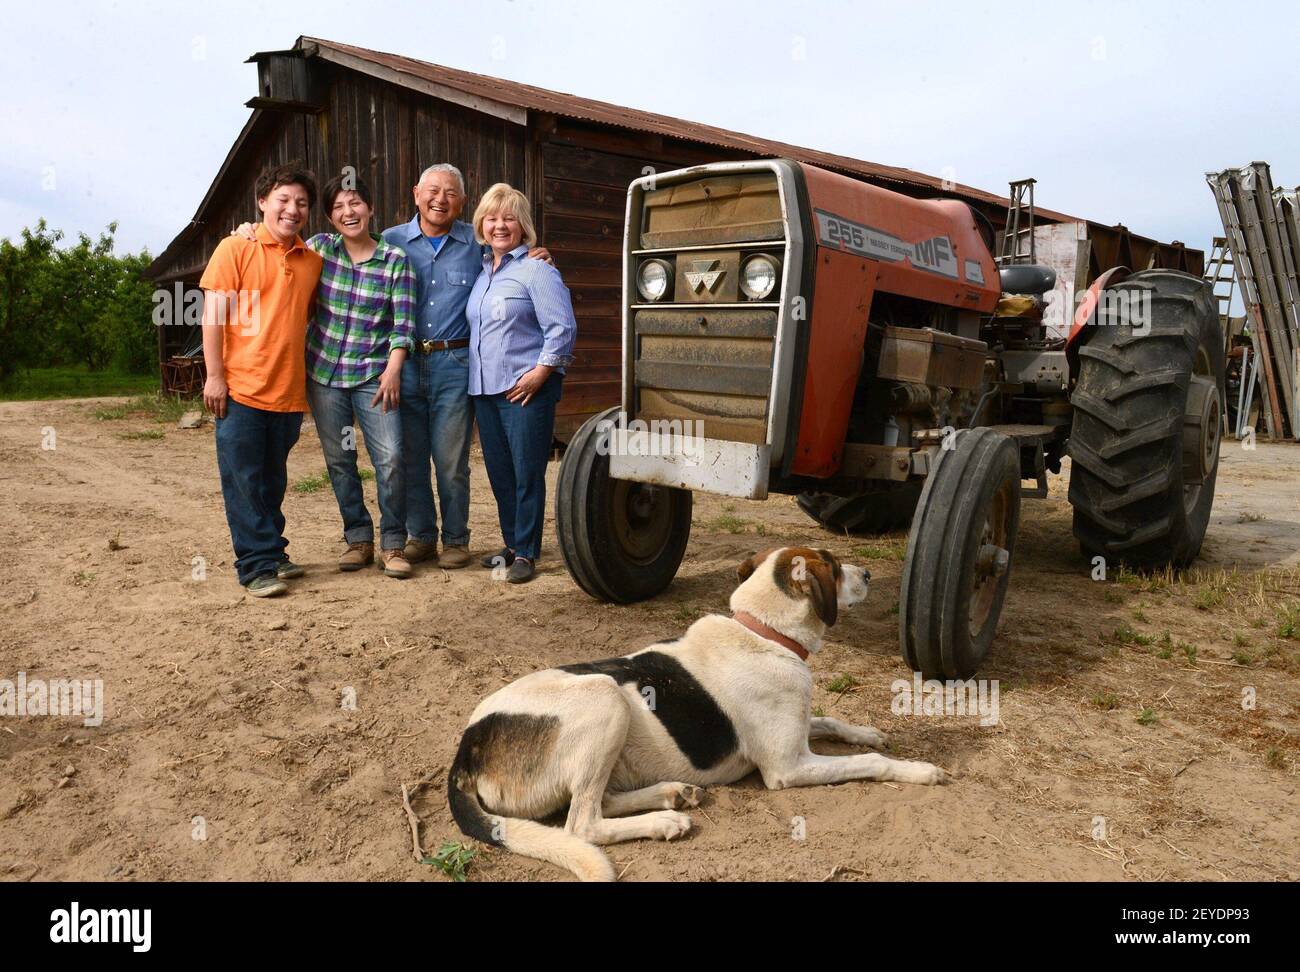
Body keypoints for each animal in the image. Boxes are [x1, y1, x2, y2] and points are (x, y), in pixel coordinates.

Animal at [447, 545, 946, 878]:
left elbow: (832, 721)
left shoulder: (801, 729)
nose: (868, 572)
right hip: (604, 697)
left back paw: (673, 794)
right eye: (837, 568)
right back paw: (664, 820)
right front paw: (920, 770)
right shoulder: (788, 768)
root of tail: (466, 751)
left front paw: (868, 731)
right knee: (582, 824)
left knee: (599, 801)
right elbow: (873, 762)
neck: (762, 632)